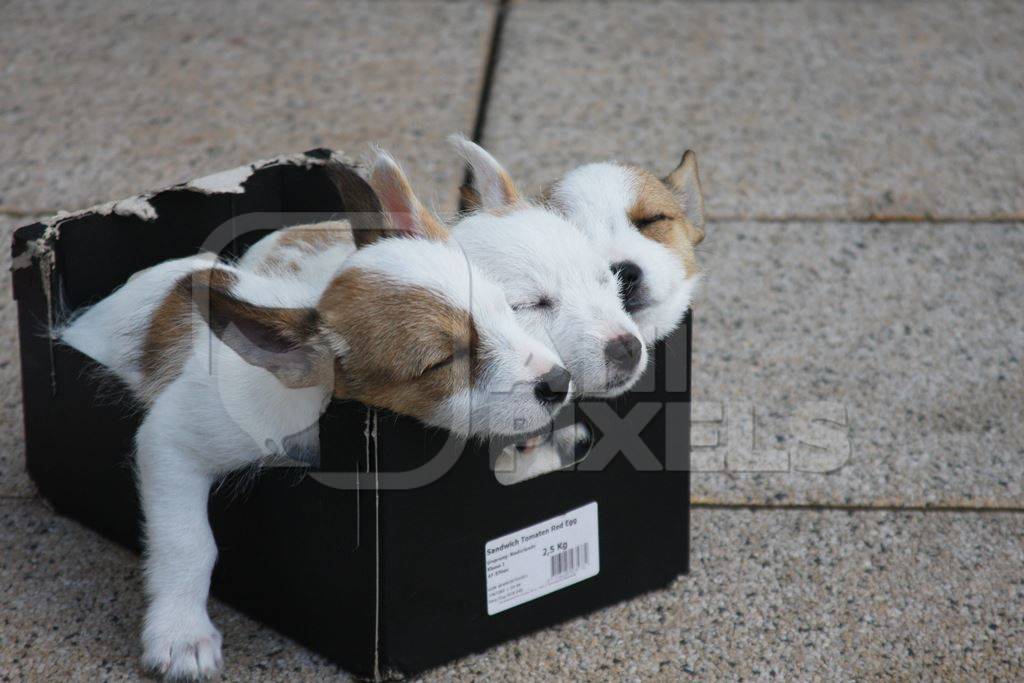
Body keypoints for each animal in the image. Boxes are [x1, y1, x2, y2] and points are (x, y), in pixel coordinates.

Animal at [58, 152, 569, 679]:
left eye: (503, 307)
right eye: (441, 363)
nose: (559, 382)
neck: (316, 409)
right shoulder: (172, 439)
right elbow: (190, 542)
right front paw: (181, 634)